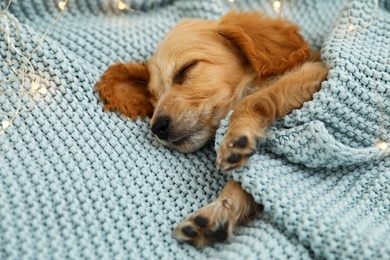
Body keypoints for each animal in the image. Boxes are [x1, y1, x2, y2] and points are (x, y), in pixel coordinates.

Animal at [96, 11, 328, 248]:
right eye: (153, 97)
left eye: (186, 69)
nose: (157, 127)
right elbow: (251, 182)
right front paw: (219, 212)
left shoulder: (316, 73)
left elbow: (254, 100)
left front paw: (235, 136)